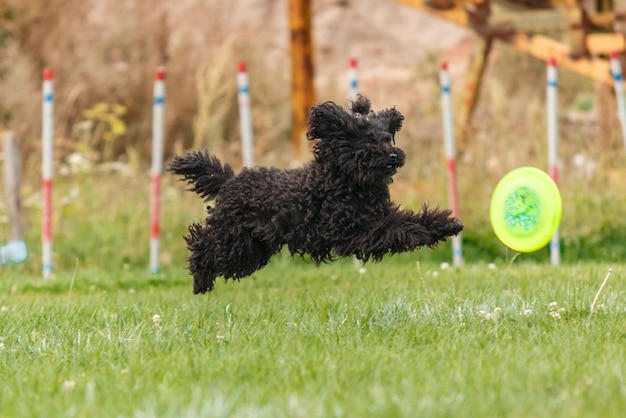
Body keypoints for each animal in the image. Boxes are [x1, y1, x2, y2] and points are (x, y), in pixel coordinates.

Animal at [168, 96, 460, 292]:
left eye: (387, 138)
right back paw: (200, 279)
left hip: (252, 247)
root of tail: (229, 181)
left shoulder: (373, 217)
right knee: (202, 243)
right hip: (233, 237)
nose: (393, 156)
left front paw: (444, 224)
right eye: (367, 140)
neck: (346, 181)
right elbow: (396, 228)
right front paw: (420, 232)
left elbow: (409, 219)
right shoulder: (353, 229)